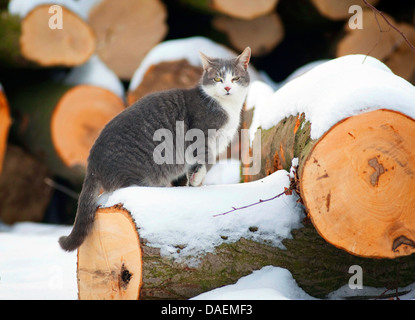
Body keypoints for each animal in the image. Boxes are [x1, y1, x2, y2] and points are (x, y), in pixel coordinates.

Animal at [59, 46, 252, 251]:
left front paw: (193, 185)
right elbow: (205, 161)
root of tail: (92, 164)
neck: (226, 107)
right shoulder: (200, 137)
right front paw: (197, 180)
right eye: (217, 79)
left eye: (235, 78)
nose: (227, 88)